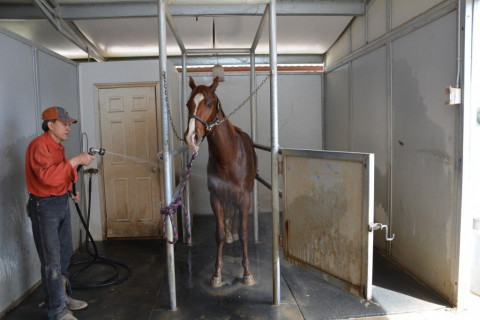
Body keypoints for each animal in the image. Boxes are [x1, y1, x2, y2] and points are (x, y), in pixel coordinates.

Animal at [185, 76, 258, 286]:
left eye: (209, 103)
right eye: (188, 104)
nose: (191, 137)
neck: (230, 158)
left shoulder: (245, 198)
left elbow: (244, 233)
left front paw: (247, 273)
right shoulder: (216, 198)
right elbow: (219, 234)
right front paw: (217, 274)